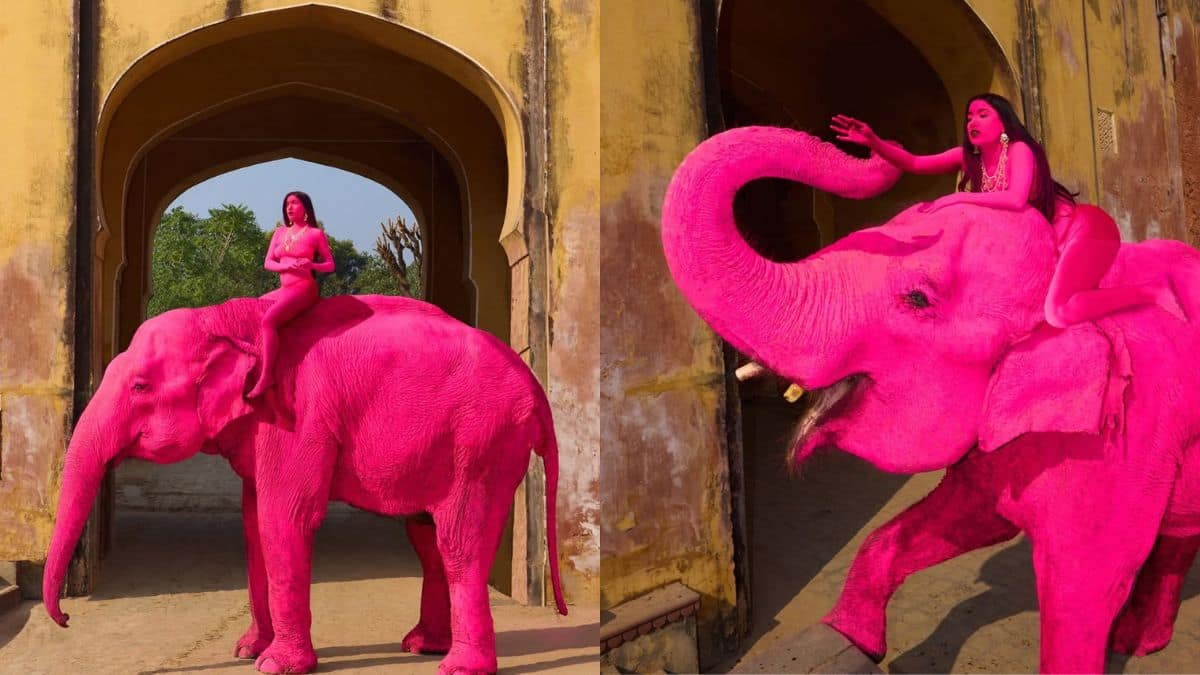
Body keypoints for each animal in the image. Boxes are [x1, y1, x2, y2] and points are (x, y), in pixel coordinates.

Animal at [42, 294, 567, 675]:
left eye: (139, 387)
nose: (66, 619)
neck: (231, 319)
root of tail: (537, 389)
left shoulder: (297, 418)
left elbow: (284, 519)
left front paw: (274, 665)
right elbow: (253, 524)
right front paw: (244, 651)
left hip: (483, 440)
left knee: (458, 540)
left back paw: (458, 668)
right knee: (426, 536)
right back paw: (421, 647)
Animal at [660, 125, 1200, 673]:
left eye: (917, 298)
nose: (868, 142)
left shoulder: (1124, 440)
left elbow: (1085, 593)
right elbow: (953, 521)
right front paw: (852, 642)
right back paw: (1141, 642)